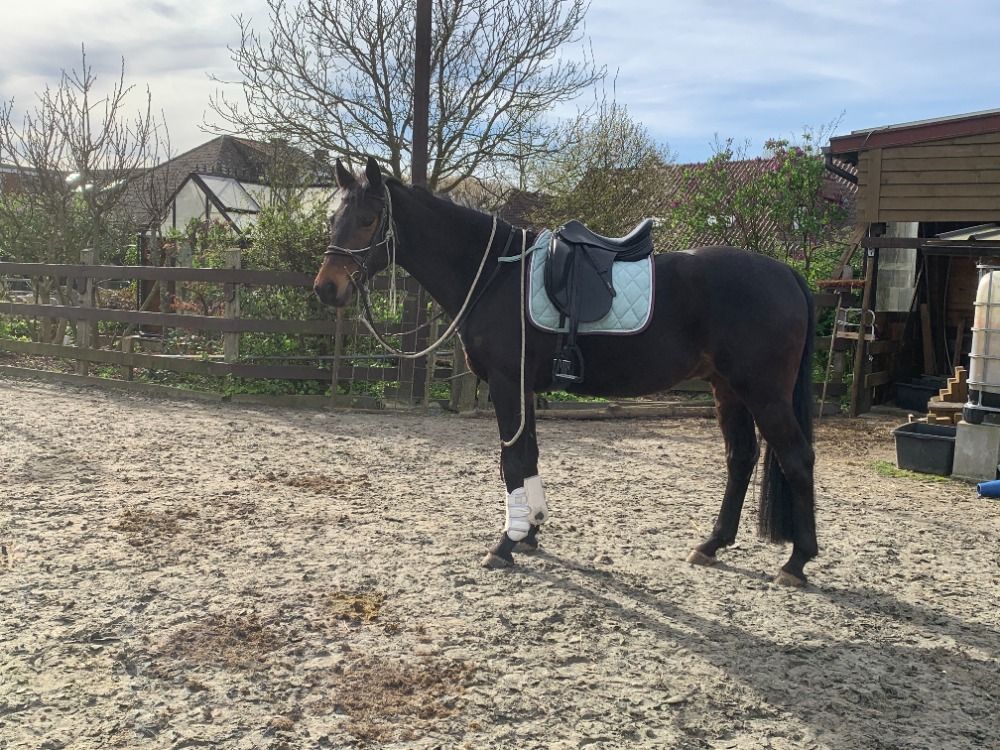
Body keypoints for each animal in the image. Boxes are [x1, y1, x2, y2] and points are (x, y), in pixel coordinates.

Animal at [314, 157, 817, 587]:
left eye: (367, 219)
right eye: (333, 217)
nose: (326, 288)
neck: (496, 275)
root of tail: (787, 274)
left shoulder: (506, 385)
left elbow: (512, 461)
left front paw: (505, 544)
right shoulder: (524, 389)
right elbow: (529, 458)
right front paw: (531, 533)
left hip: (763, 391)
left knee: (797, 458)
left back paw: (797, 562)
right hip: (727, 389)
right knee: (741, 458)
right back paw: (712, 545)